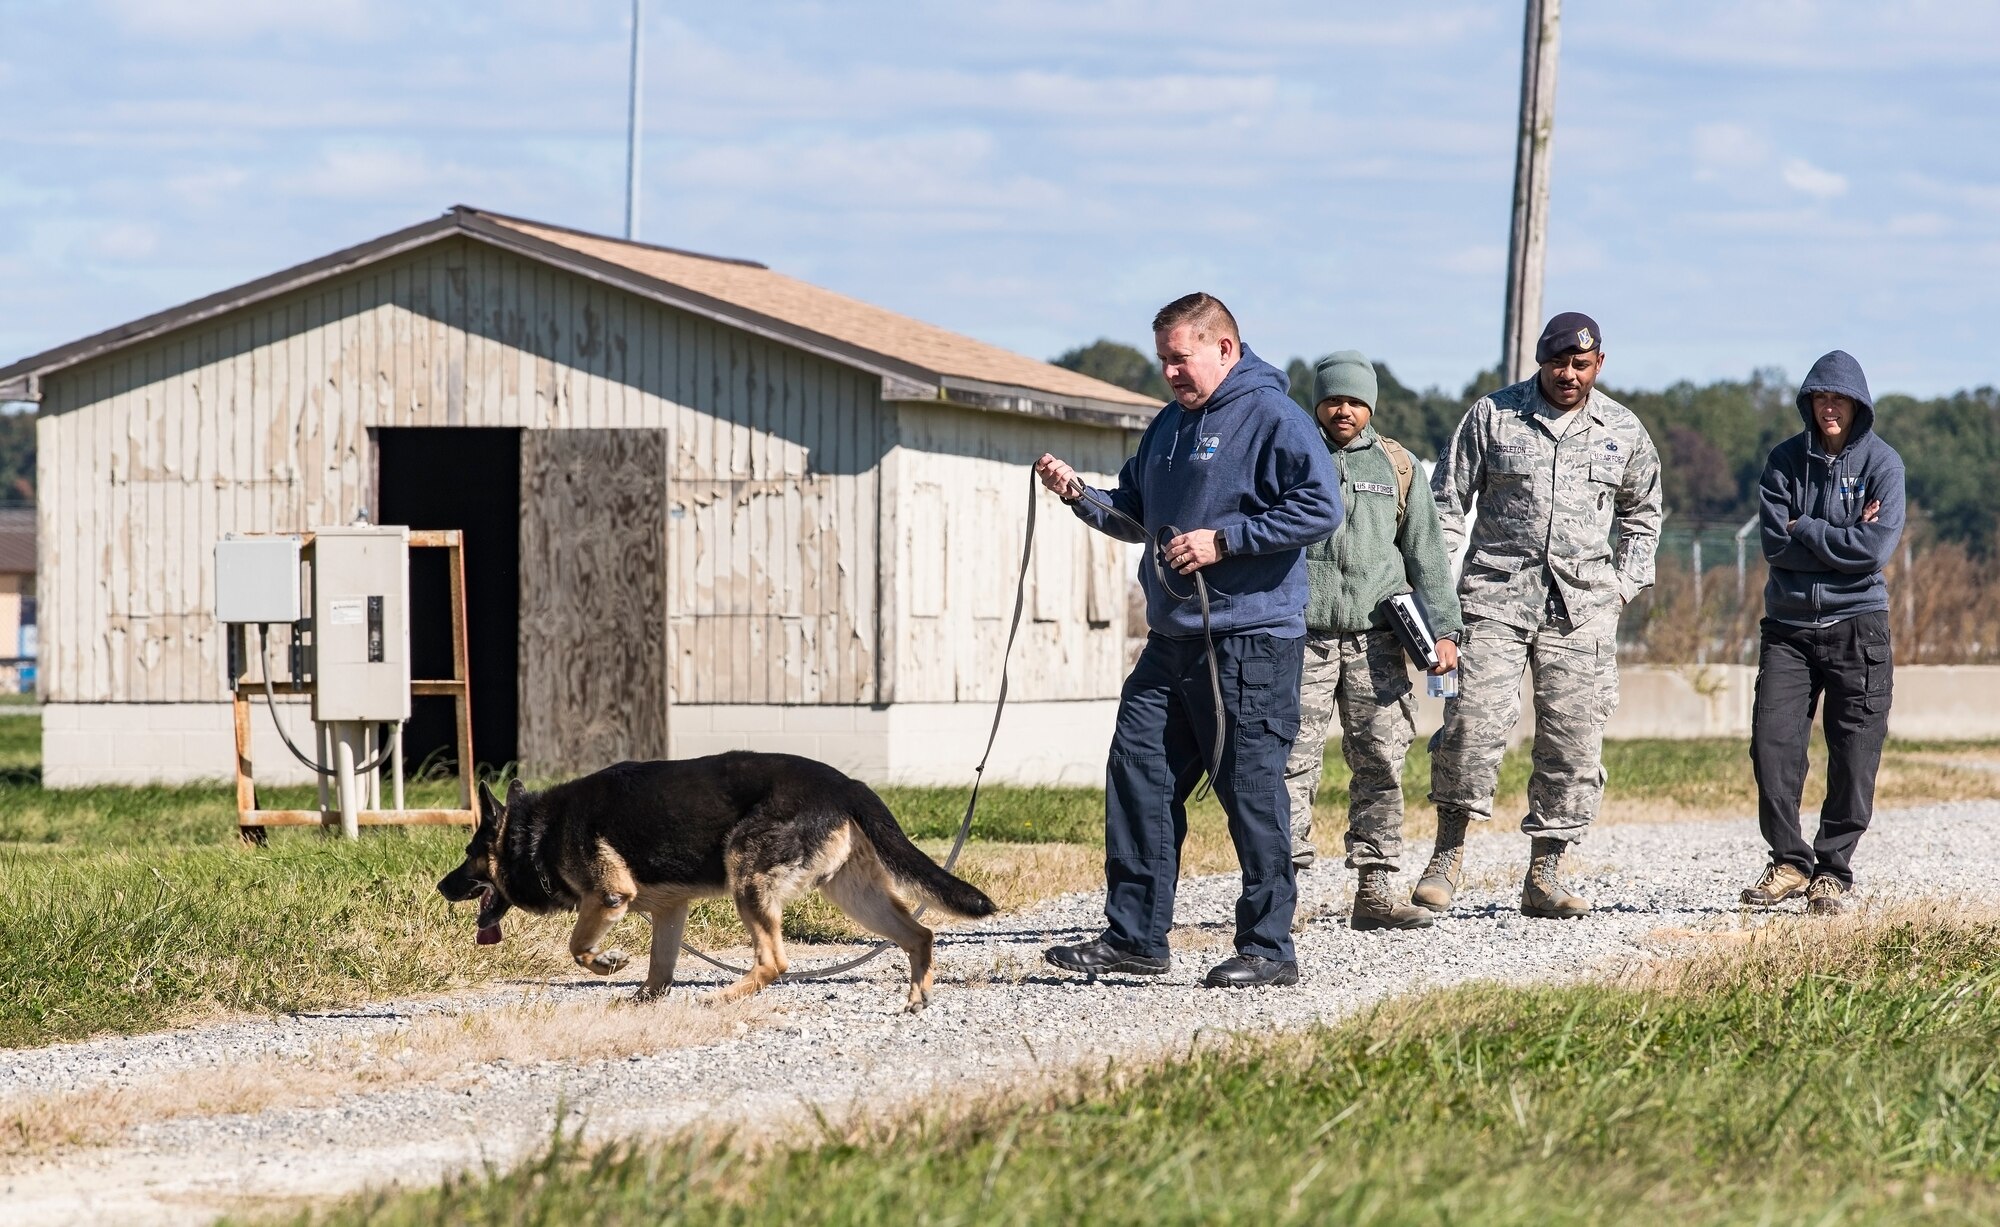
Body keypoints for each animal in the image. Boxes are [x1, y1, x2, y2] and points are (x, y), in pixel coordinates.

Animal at [440, 755, 1000, 1015]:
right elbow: (659, 969)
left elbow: (578, 947)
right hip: (852, 893)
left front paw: (607, 963)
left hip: (746, 877)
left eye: (469, 856)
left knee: (774, 963)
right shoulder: (669, 912)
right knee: (919, 934)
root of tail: (846, 784)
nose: (442, 887)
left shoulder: (608, 898)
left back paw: (723, 996)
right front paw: (642, 1001)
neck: (537, 833)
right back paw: (917, 997)